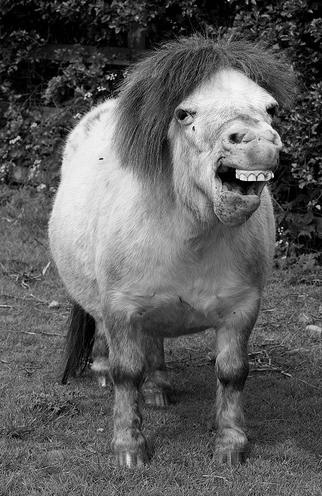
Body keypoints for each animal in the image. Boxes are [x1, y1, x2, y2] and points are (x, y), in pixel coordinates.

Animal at [49, 35, 296, 468]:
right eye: (183, 113)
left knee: (155, 342)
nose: (257, 142)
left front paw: (231, 444)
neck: (190, 235)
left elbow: (233, 372)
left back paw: (159, 389)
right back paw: (102, 369)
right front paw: (129, 446)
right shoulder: (121, 307)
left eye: (269, 108)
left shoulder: (241, 309)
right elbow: (127, 373)